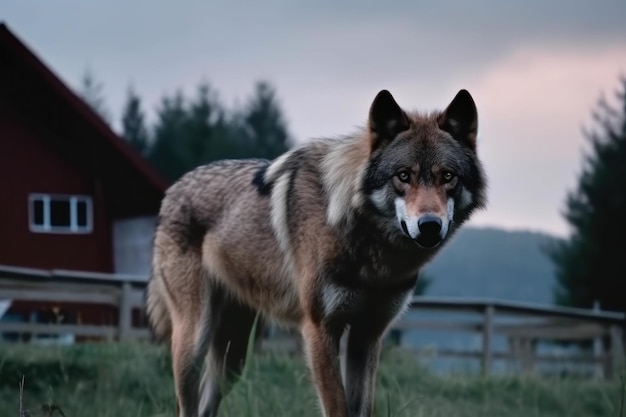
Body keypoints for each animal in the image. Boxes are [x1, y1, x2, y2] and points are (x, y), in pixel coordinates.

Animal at [144, 88, 486, 416]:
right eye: (403, 176)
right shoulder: (320, 329)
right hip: (194, 341)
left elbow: (361, 408)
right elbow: (337, 408)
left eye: (447, 176)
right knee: (186, 406)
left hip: (234, 354)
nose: (429, 225)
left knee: (206, 406)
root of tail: (173, 189)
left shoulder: (367, 335)